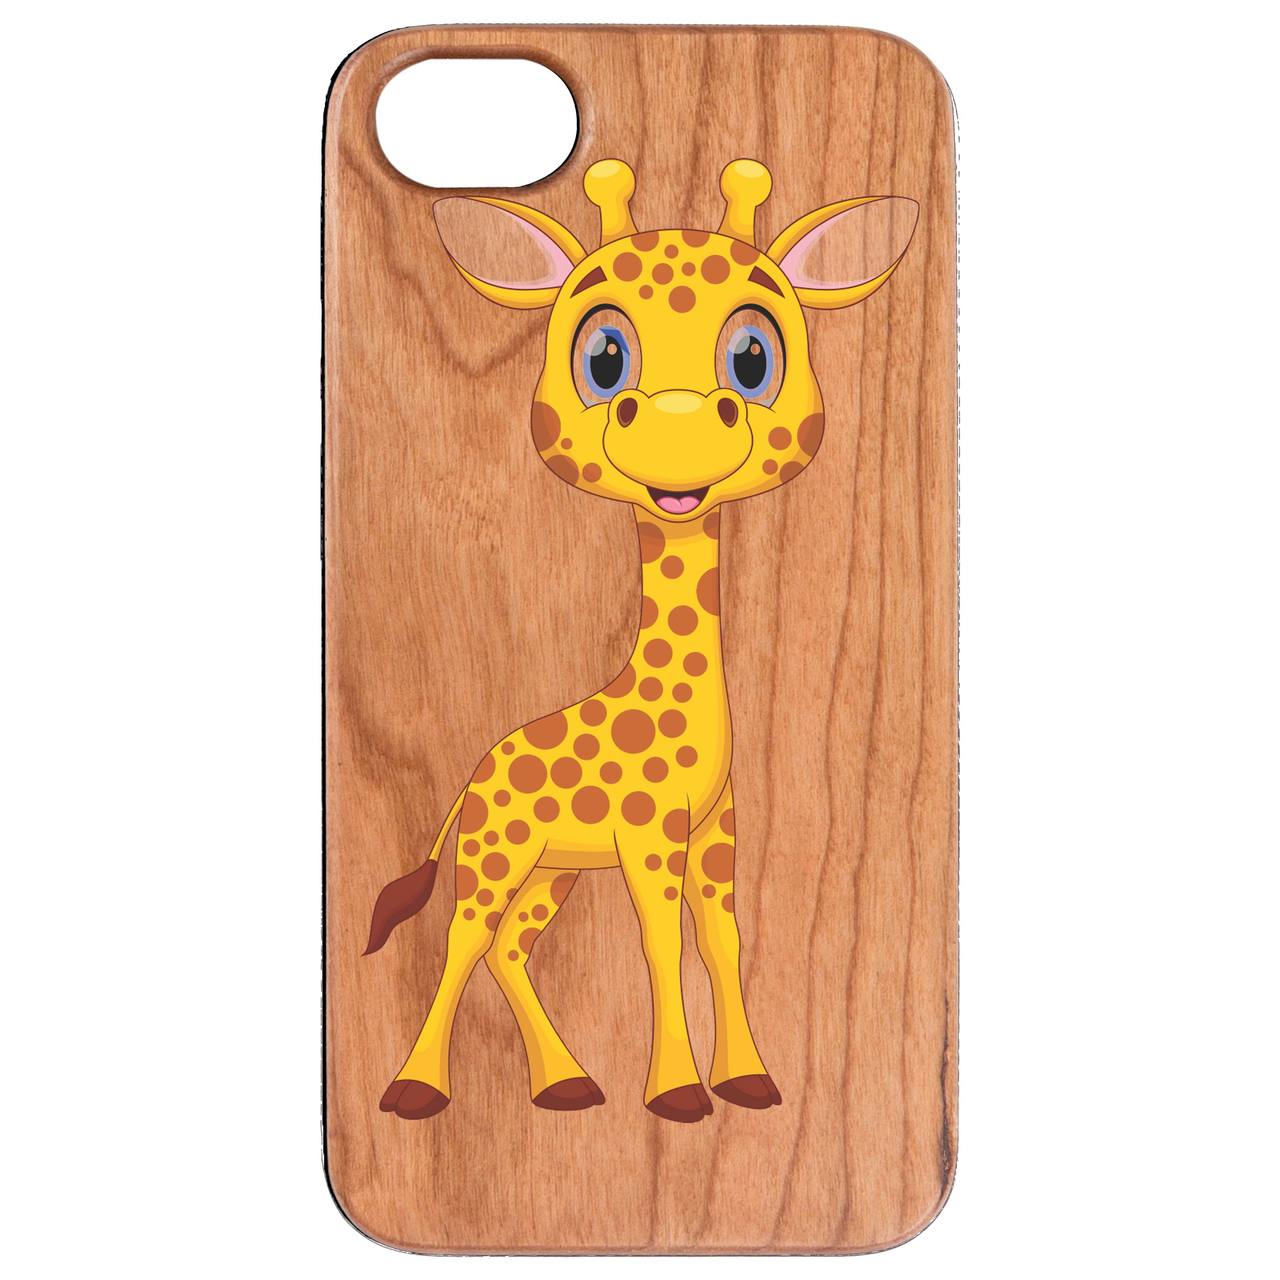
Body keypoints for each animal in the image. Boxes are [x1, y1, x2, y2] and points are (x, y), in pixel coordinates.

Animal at [366, 158, 917, 1124]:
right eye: (604, 359)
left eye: (753, 357)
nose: (677, 432)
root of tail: (473, 776)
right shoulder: (649, 835)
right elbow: (663, 945)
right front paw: (679, 1094)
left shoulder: (714, 831)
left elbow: (722, 941)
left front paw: (746, 1079)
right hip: (497, 852)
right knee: (464, 940)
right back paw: (416, 1091)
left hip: (553, 868)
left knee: (510, 947)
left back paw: (567, 1084)